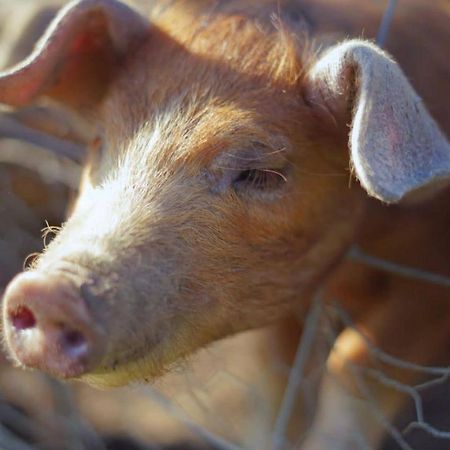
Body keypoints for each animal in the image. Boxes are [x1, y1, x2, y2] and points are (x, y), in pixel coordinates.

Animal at [0, 0, 448, 448]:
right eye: (99, 141)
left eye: (259, 174)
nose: (47, 293)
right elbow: (278, 382)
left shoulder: (429, 281)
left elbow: (356, 364)